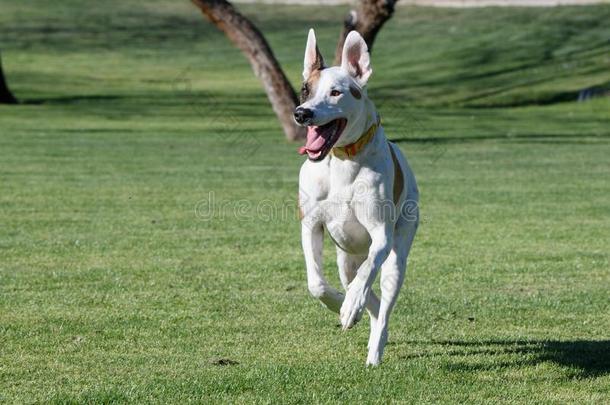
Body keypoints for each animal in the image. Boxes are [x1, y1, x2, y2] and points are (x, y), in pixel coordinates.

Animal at [294, 26, 418, 364]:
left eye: (336, 92)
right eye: (305, 90)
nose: (301, 113)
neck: (340, 159)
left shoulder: (381, 233)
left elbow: (370, 268)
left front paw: (350, 305)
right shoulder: (310, 224)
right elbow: (316, 283)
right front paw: (341, 304)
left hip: (398, 253)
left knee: (383, 299)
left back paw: (374, 346)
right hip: (345, 258)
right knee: (362, 290)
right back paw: (356, 310)